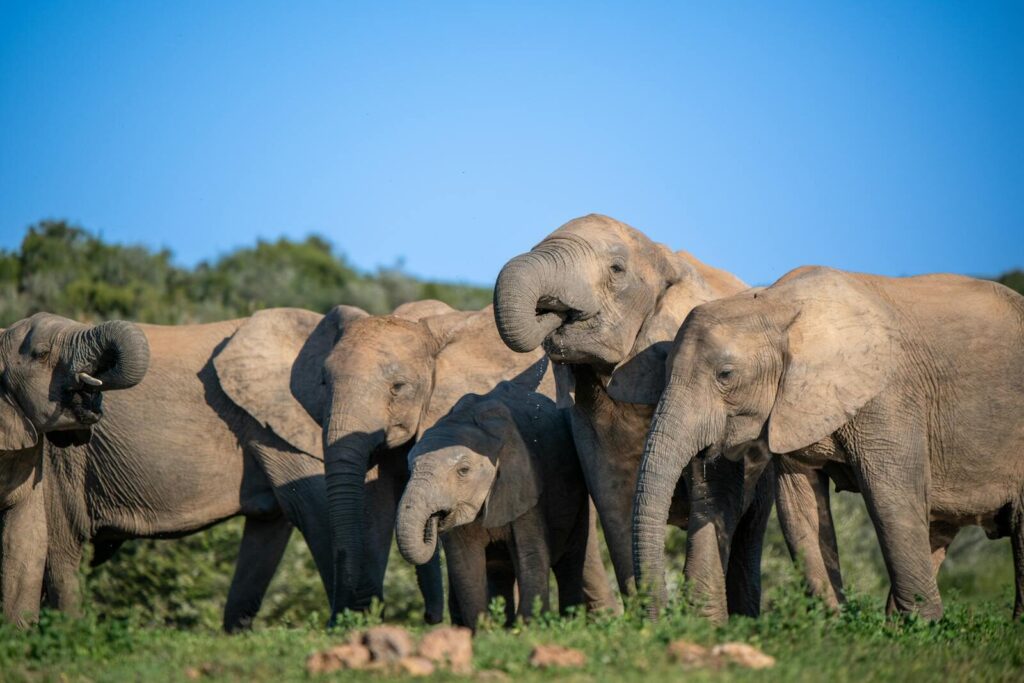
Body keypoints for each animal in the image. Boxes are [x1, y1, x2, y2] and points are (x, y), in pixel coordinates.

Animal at [33, 306, 445, 632]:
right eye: (324, 385)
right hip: (59, 452)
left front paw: (238, 633)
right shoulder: (271, 426)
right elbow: (318, 512)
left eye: (398, 389)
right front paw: (349, 623)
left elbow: (269, 531)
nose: (430, 619)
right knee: (63, 549)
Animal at [396, 381, 610, 628]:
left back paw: (570, 622)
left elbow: (531, 554)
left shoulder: (525, 483)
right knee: (500, 571)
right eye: (409, 468)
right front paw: (484, 630)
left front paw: (528, 628)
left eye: (463, 471)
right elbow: (465, 564)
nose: (434, 519)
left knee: (572, 558)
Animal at [493, 214, 775, 617]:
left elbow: (714, 493)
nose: (551, 312)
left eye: (616, 269)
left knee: (750, 531)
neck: (666, 259)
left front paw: (698, 623)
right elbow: (615, 501)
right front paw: (649, 618)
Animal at [633, 265, 1024, 621]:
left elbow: (893, 499)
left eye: (725, 375)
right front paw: (833, 626)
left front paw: (921, 630)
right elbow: (799, 507)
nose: (657, 617)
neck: (777, 305)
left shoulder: (889, 397)